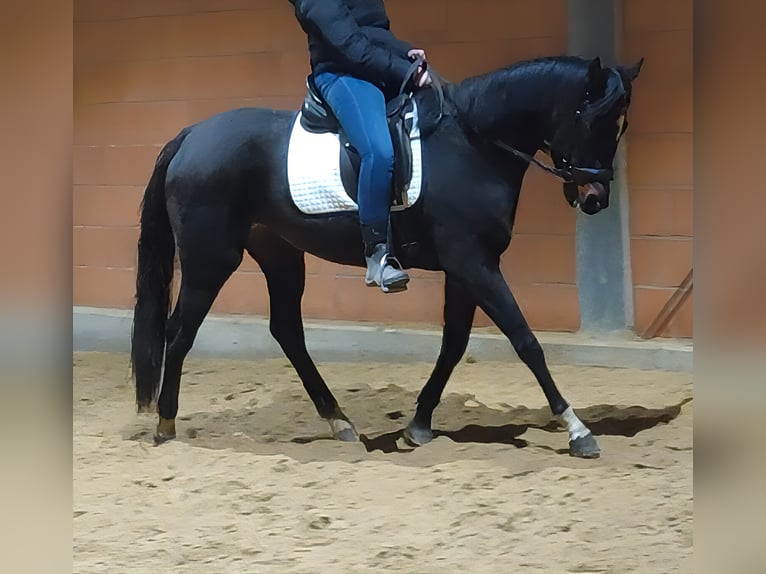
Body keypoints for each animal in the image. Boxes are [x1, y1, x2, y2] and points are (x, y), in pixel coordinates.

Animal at [130, 54, 643, 459]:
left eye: (622, 126)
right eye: (592, 119)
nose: (595, 198)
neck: (473, 144)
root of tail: (192, 134)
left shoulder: (464, 269)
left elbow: (454, 345)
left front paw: (419, 424)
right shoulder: (474, 263)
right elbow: (525, 341)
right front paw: (577, 430)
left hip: (279, 254)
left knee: (287, 332)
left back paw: (340, 423)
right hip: (210, 260)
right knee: (179, 333)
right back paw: (166, 427)